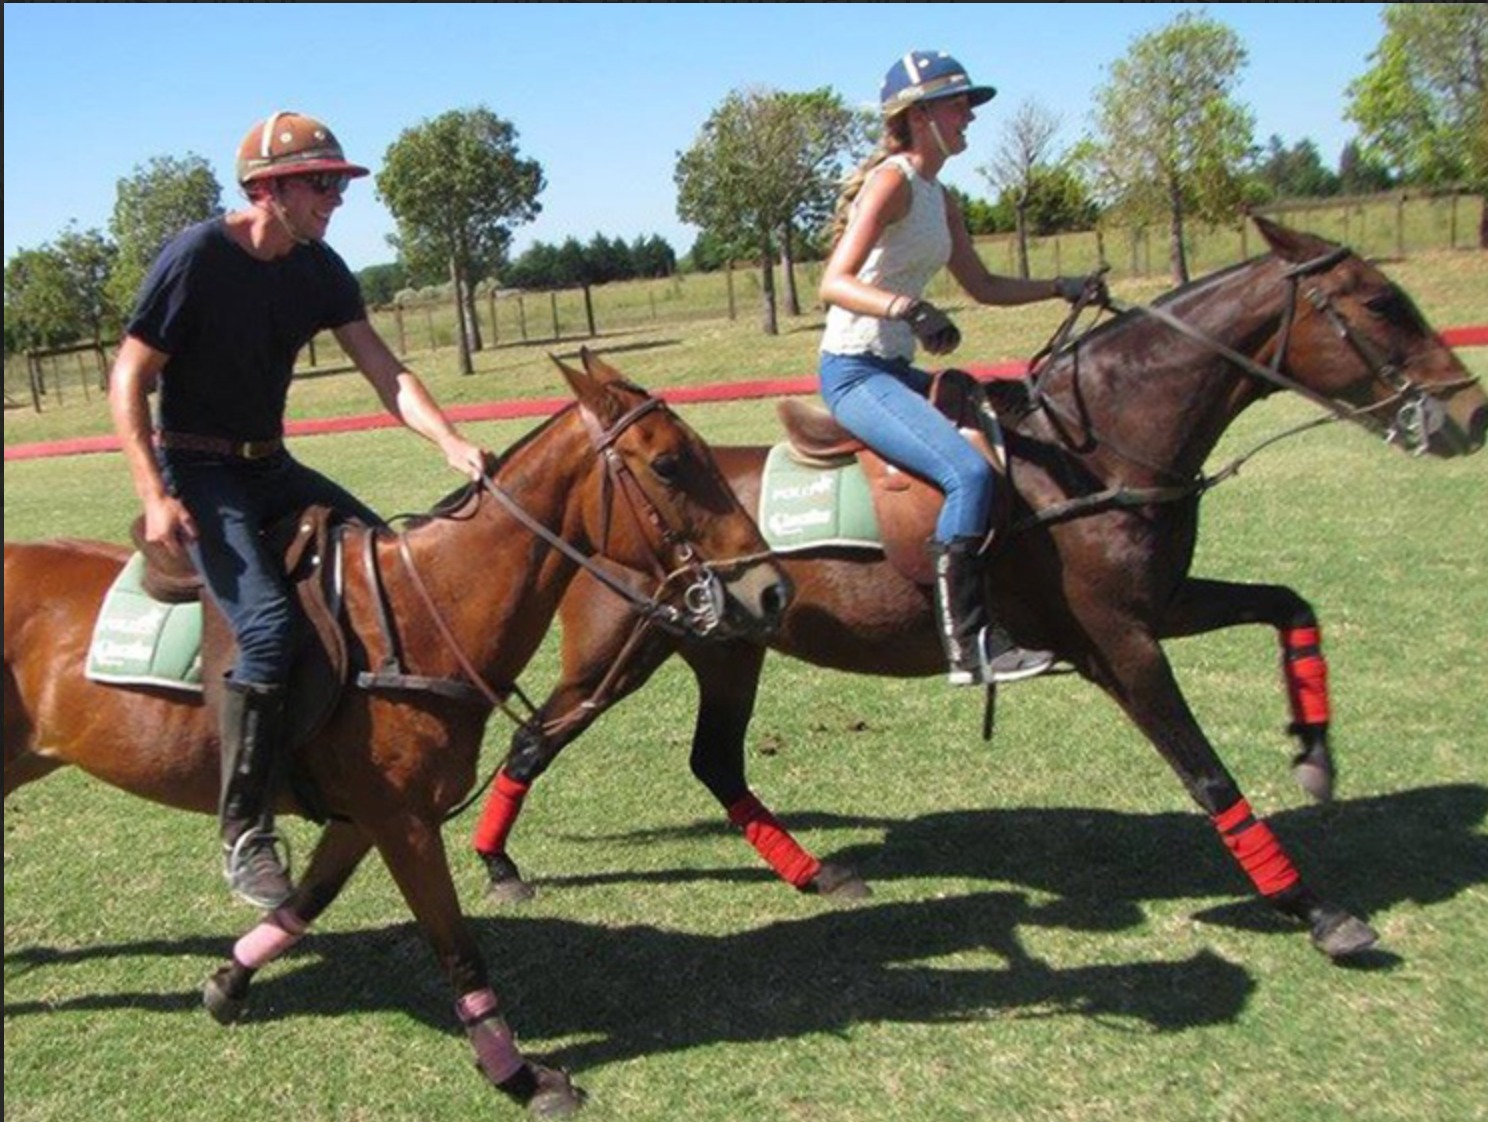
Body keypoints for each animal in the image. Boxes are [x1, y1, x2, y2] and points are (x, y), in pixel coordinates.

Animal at [0, 349, 791, 1113]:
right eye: (669, 464)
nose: (772, 591)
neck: (424, 613)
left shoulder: (361, 817)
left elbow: (303, 906)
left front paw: (227, 983)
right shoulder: (404, 821)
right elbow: (457, 947)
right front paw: (520, 1075)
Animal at [470, 218, 1482, 964]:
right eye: (1382, 303)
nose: (1467, 412)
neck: (1097, 448)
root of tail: (582, 517)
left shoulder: (1162, 605)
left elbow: (1288, 601)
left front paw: (1315, 754)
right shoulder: (1121, 641)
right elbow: (1206, 772)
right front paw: (1312, 908)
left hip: (726, 645)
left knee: (713, 762)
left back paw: (815, 874)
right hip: (620, 651)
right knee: (532, 739)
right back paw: (497, 863)